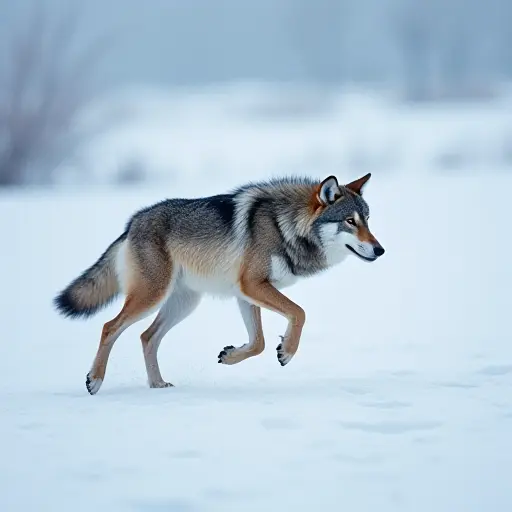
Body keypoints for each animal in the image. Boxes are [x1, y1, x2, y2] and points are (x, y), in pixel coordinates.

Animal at [55, 174, 384, 394]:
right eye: (350, 221)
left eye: (368, 219)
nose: (380, 250)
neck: (285, 226)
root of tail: (132, 222)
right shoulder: (253, 285)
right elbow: (299, 313)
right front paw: (287, 351)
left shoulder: (246, 293)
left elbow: (259, 342)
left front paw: (230, 356)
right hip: (152, 296)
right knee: (109, 327)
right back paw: (95, 380)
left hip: (184, 304)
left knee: (147, 337)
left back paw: (157, 384)